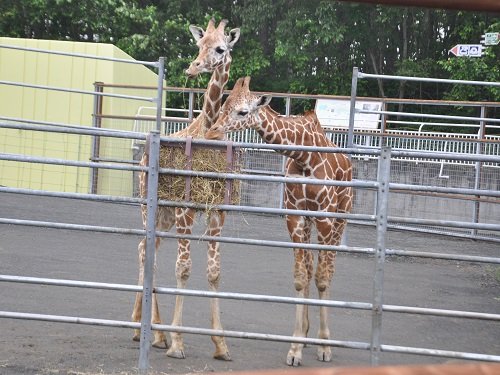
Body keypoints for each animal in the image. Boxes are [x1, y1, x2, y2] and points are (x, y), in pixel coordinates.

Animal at [131, 17, 240, 362]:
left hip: (163, 219)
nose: (193, 68)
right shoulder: (185, 209)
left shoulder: (218, 211)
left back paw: (149, 332)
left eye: (220, 48)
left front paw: (221, 345)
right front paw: (178, 343)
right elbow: (183, 269)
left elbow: (214, 271)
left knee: (145, 249)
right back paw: (151, 333)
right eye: (198, 44)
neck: (206, 129)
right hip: (149, 209)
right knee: (146, 253)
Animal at [205, 76, 354, 368]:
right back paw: (306, 335)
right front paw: (296, 347)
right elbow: (300, 277)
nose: (213, 133)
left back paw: (322, 340)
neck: (305, 157)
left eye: (243, 112)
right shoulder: (294, 216)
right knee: (309, 267)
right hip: (309, 222)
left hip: (340, 217)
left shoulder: (325, 217)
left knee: (327, 270)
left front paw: (324, 346)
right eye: (224, 105)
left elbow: (322, 278)